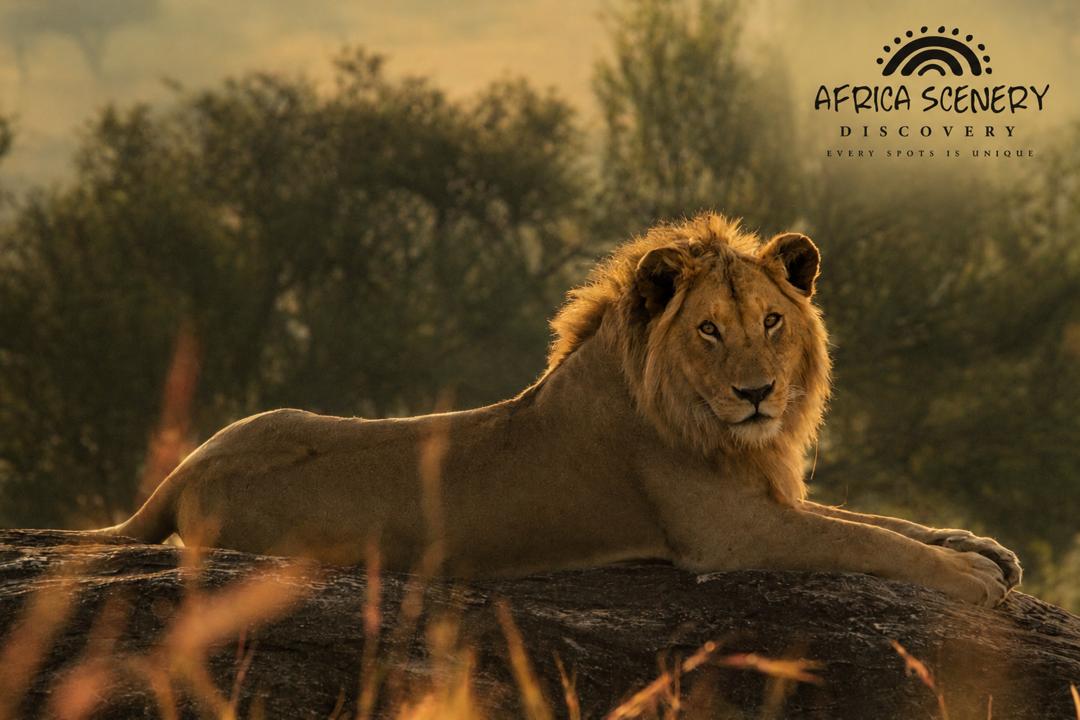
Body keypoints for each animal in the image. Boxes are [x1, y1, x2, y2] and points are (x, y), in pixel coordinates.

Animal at [96, 213, 1021, 606]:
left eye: (770, 321)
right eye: (710, 330)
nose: (758, 393)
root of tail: (180, 474)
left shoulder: (767, 497)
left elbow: (879, 521)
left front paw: (982, 547)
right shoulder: (726, 532)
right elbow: (863, 540)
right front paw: (972, 578)